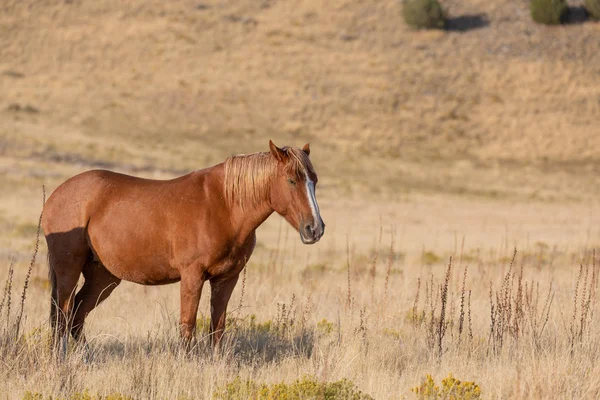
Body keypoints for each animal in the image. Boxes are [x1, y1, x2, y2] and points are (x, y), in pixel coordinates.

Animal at [42, 141, 326, 354]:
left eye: (314, 180)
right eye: (291, 180)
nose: (315, 229)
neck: (224, 205)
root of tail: (56, 195)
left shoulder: (226, 279)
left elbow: (217, 327)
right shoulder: (192, 276)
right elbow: (187, 325)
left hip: (103, 277)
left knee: (76, 315)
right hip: (69, 270)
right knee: (62, 314)